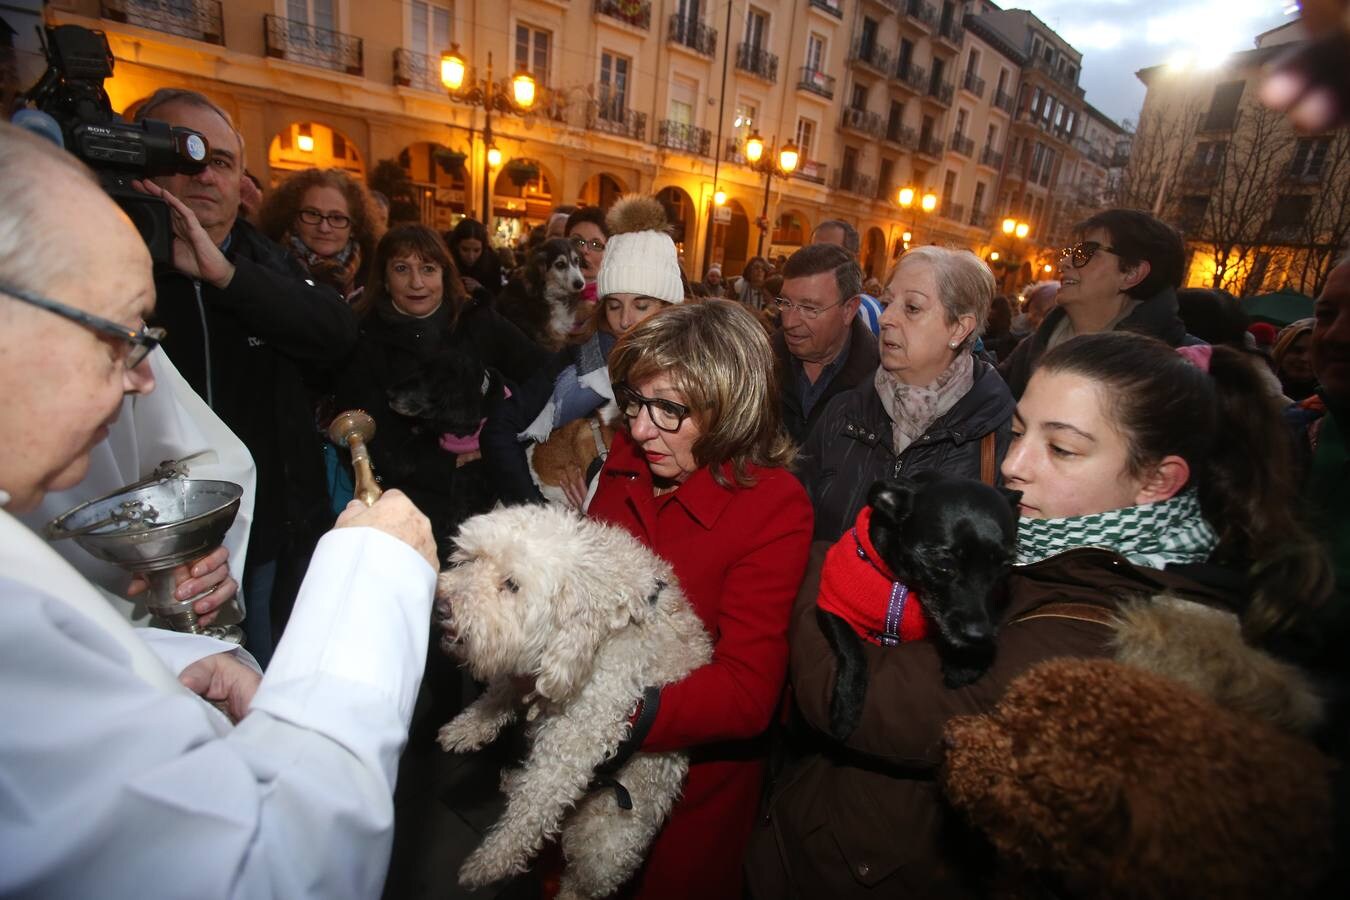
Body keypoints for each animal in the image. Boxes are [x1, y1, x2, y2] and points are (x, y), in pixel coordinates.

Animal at [434, 507, 712, 900]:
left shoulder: (579, 733)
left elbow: (535, 804)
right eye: (470, 559)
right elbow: (502, 690)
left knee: (583, 880)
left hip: (606, 849)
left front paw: (491, 861)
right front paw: (468, 726)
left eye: (511, 585)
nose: (441, 606)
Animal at [815, 474, 1015, 744]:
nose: (978, 635)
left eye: (1006, 566)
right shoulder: (831, 604)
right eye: (944, 562)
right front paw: (846, 706)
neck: (907, 584)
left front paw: (967, 662)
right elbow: (852, 650)